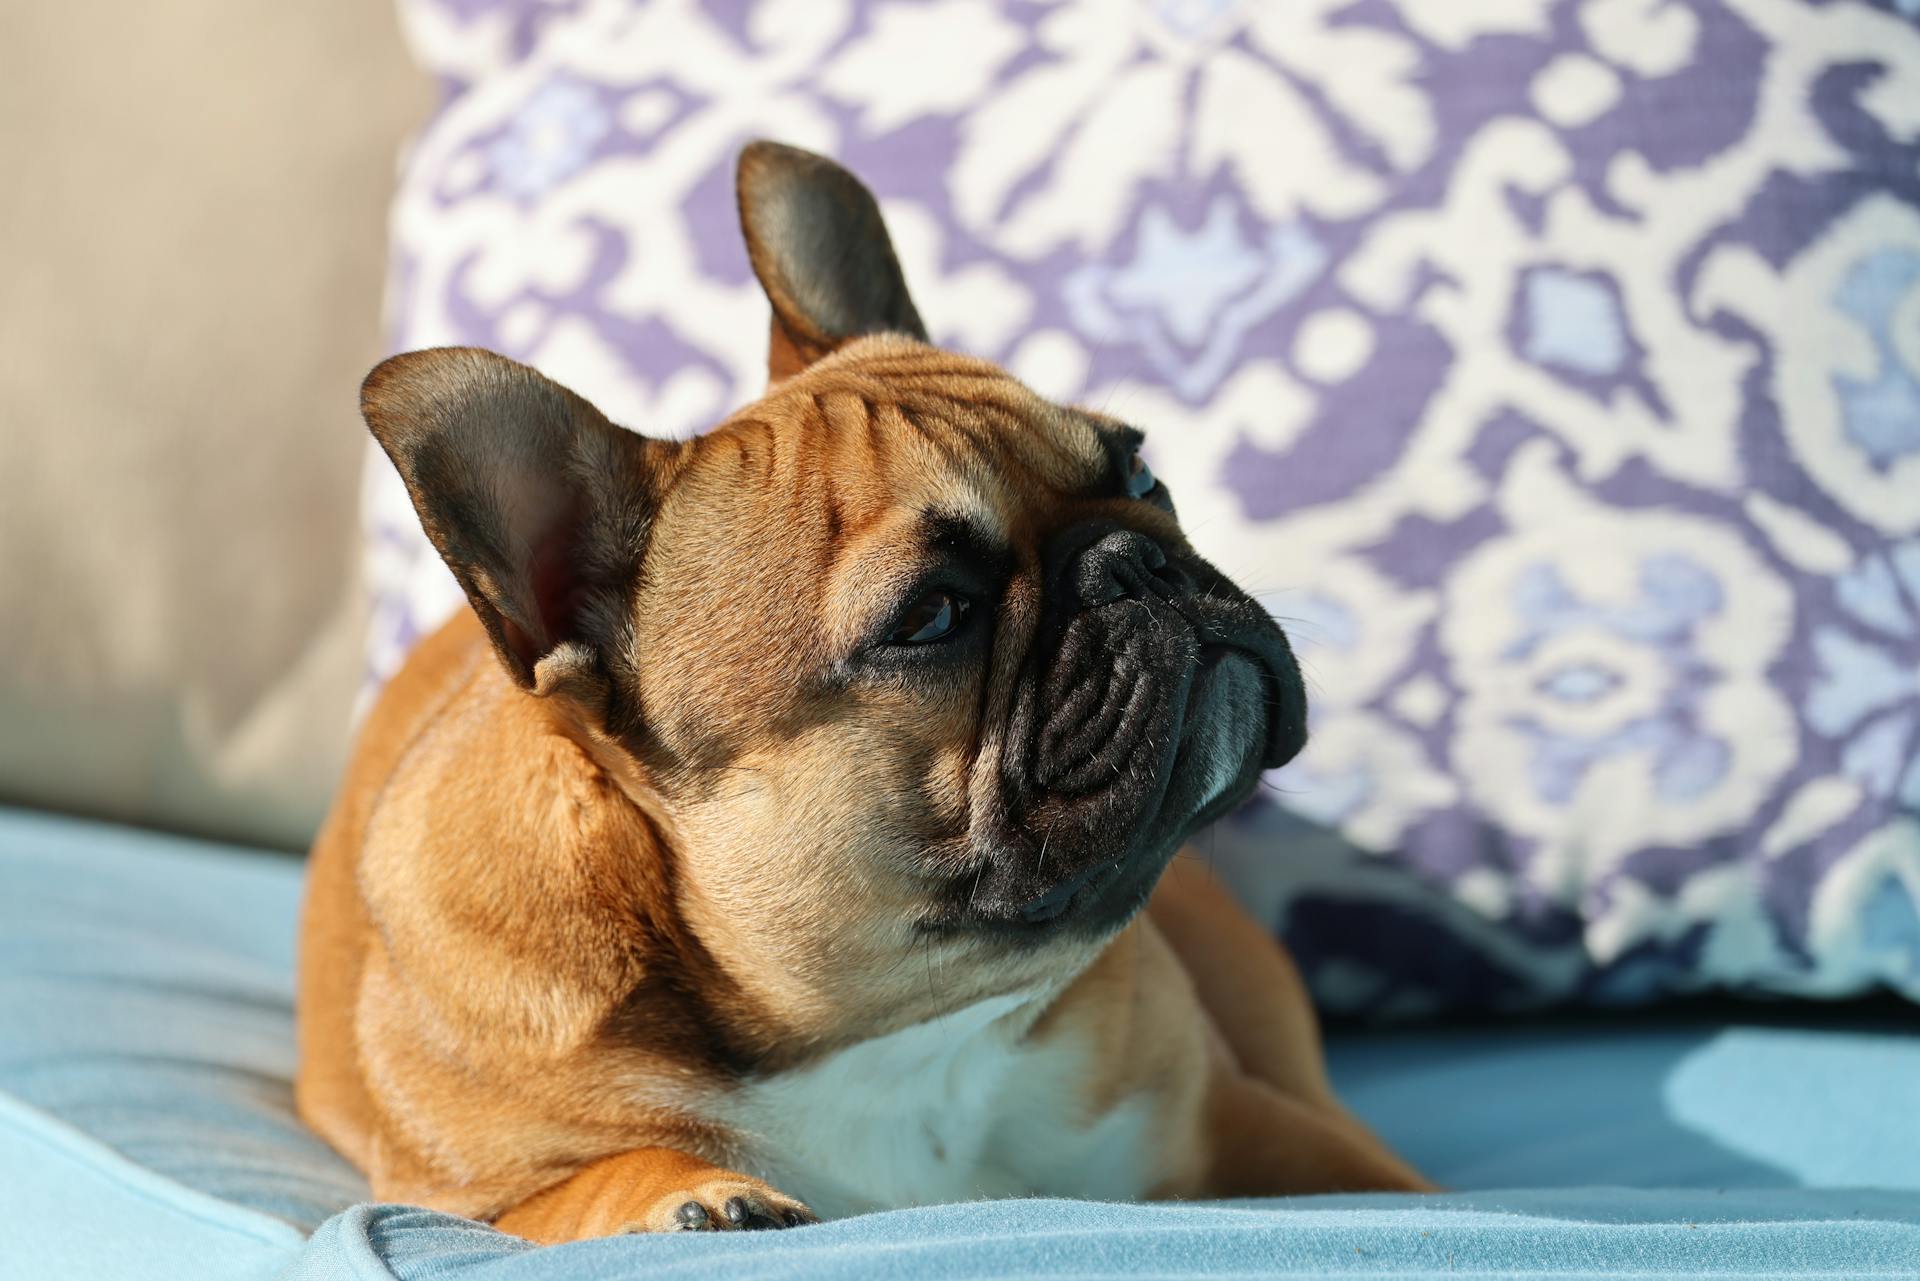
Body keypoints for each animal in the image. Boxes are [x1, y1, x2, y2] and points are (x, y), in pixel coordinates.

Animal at [295, 140, 1428, 1244]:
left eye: (1144, 475)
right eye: (930, 617)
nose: (1135, 562)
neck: (888, 1034)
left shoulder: (1249, 1123)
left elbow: (1395, 1187)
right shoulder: (461, 1187)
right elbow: (583, 1184)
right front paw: (697, 1195)